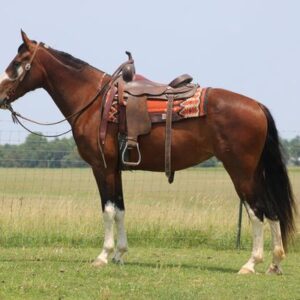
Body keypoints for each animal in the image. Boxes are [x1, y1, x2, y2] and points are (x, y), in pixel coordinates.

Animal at [0, 32, 296, 274]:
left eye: (17, 62)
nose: (1, 96)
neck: (95, 102)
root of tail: (256, 106)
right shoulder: (115, 169)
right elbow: (120, 209)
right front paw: (119, 255)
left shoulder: (102, 167)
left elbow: (107, 210)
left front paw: (103, 256)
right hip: (254, 172)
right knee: (271, 211)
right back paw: (274, 263)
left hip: (240, 171)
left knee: (256, 211)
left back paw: (251, 263)